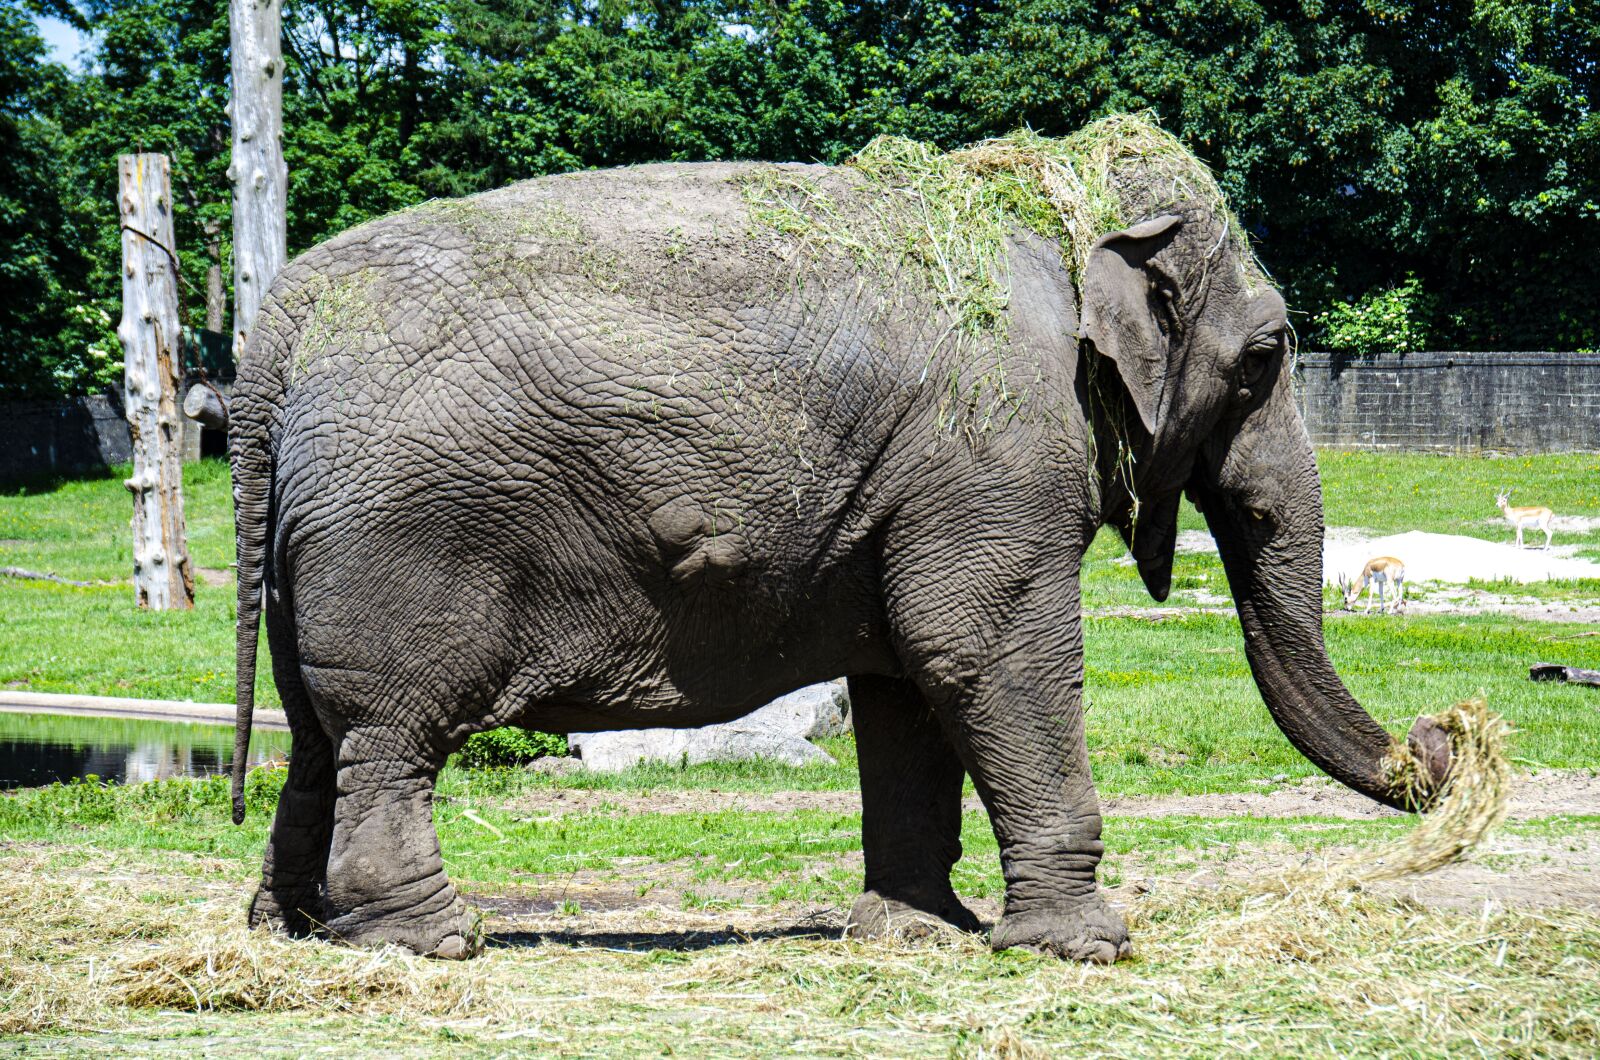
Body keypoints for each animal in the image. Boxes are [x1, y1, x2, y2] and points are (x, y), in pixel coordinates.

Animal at [227, 124, 1452, 963]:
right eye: (1265, 356)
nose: (1444, 736)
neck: (1044, 197)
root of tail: (275, 335)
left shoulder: (923, 489)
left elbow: (908, 677)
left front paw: (919, 931)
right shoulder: (994, 453)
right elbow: (985, 652)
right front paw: (1087, 947)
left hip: (306, 549)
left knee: (313, 730)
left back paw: (288, 929)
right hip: (401, 538)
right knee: (388, 729)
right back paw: (431, 940)